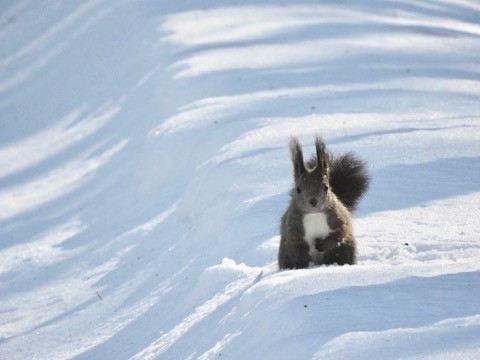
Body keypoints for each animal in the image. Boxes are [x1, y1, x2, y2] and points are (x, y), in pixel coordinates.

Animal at [278, 136, 372, 268]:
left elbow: (341, 232)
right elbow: (297, 248)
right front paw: (303, 267)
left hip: (347, 248)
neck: (314, 214)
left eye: (326, 187)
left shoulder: (339, 217)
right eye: (298, 189)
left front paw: (322, 244)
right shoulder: (292, 227)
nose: (313, 201)